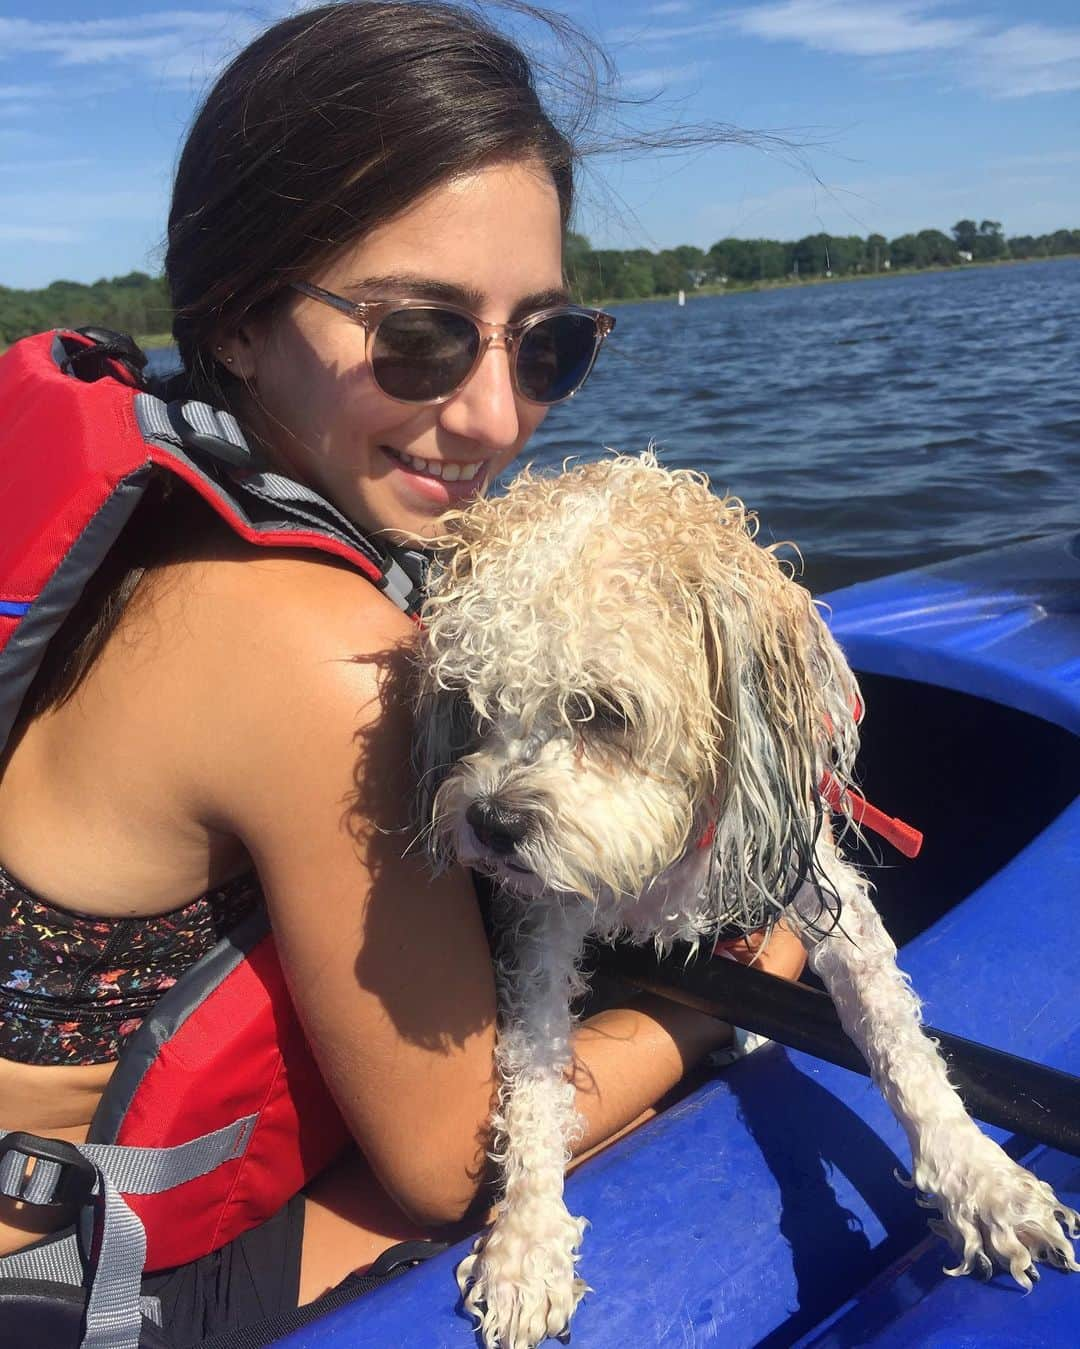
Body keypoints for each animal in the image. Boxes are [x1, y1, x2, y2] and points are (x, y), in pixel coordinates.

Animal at [409, 453, 1073, 1349]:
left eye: (605, 712)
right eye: (474, 700)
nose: (491, 822)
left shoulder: (813, 883)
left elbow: (899, 1042)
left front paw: (982, 1179)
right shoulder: (543, 920)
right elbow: (537, 1074)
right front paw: (526, 1239)